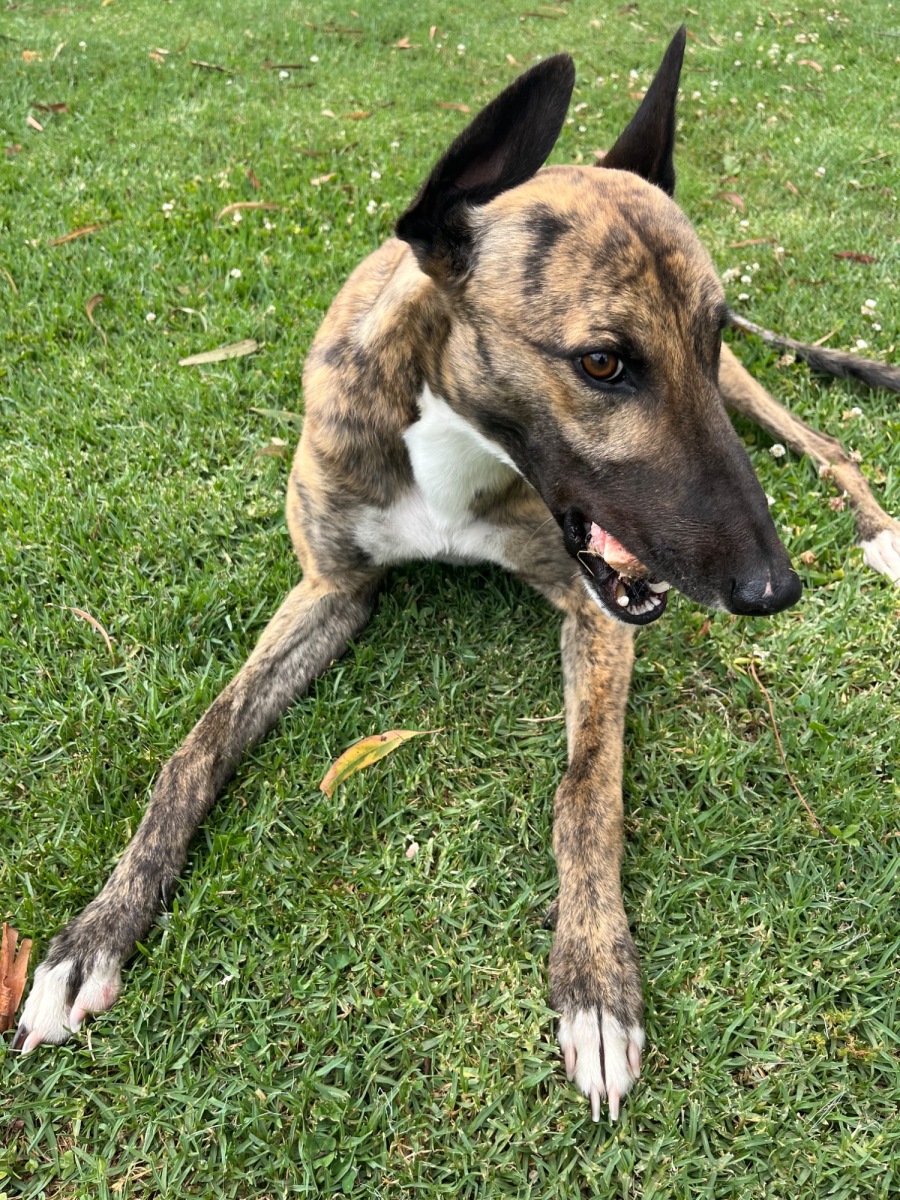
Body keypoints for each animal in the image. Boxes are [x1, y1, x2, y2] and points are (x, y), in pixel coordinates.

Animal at [13, 28, 900, 1121]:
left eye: (707, 332)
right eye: (602, 363)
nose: (771, 589)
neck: (449, 431)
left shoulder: (597, 612)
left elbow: (585, 789)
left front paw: (595, 983)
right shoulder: (331, 590)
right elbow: (196, 748)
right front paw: (95, 932)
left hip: (754, 401)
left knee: (832, 447)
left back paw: (881, 533)